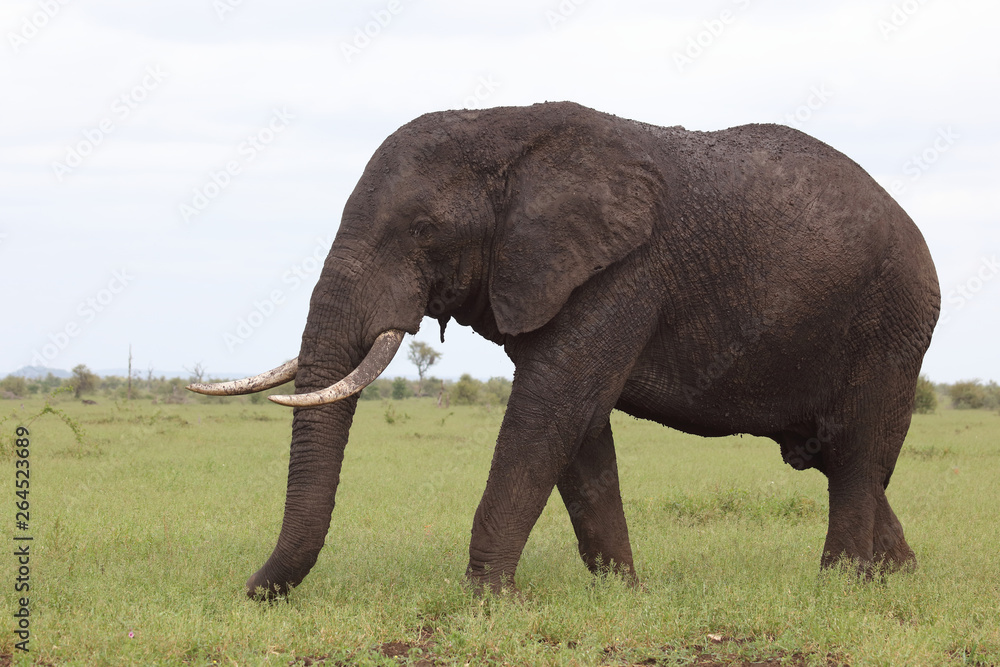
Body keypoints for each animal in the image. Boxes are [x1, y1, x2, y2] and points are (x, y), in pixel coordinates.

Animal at [188, 102, 936, 596]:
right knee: (841, 458)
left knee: (857, 454)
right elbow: (579, 428)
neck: (506, 127)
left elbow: (553, 407)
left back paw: (842, 589)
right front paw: (622, 595)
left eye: (424, 229)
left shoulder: (626, 271)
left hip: (891, 323)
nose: (251, 592)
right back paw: (898, 579)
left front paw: (489, 603)